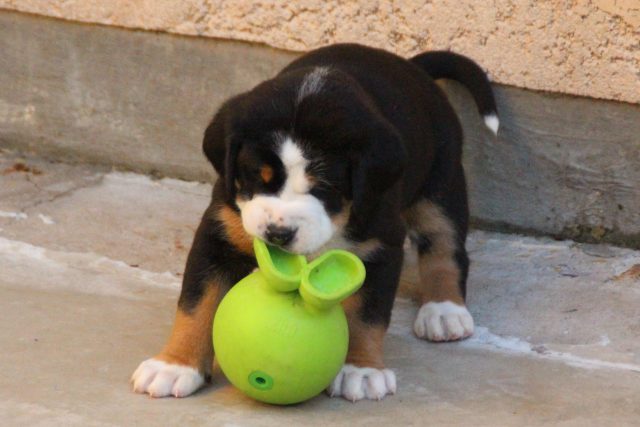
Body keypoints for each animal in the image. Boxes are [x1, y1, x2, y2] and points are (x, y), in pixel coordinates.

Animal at [131, 42, 500, 402]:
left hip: (441, 183)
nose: (278, 233)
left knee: (444, 245)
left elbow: (367, 314)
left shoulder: (380, 244)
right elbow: (197, 302)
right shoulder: (219, 232)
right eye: (256, 176)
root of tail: (413, 67)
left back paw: (444, 310)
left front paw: (361, 370)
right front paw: (175, 365)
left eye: (324, 188)